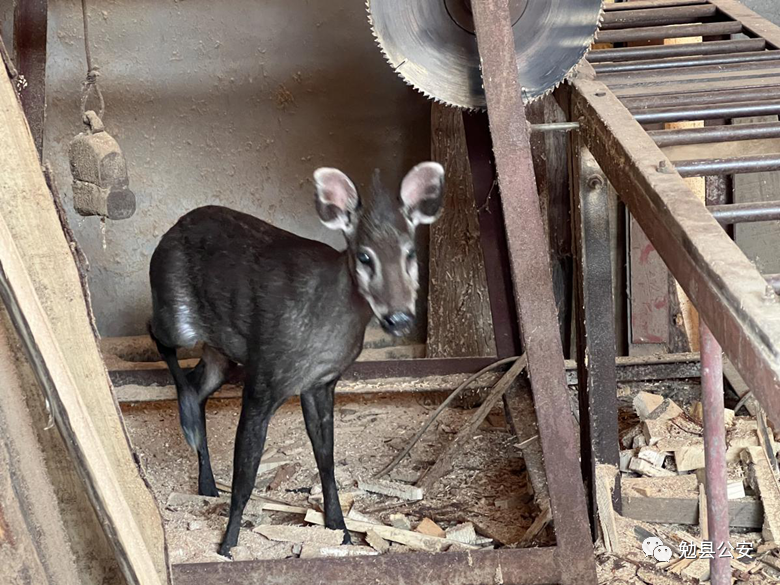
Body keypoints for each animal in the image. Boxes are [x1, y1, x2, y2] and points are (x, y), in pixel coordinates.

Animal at [149, 162, 442, 556]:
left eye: (410, 254)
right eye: (365, 256)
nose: (400, 319)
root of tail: (169, 232)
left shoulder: (321, 383)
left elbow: (326, 459)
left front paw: (341, 529)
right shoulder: (264, 377)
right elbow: (246, 471)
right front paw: (227, 543)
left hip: (221, 349)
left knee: (198, 384)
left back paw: (206, 480)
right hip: (177, 317)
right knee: (158, 337)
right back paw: (190, 427)